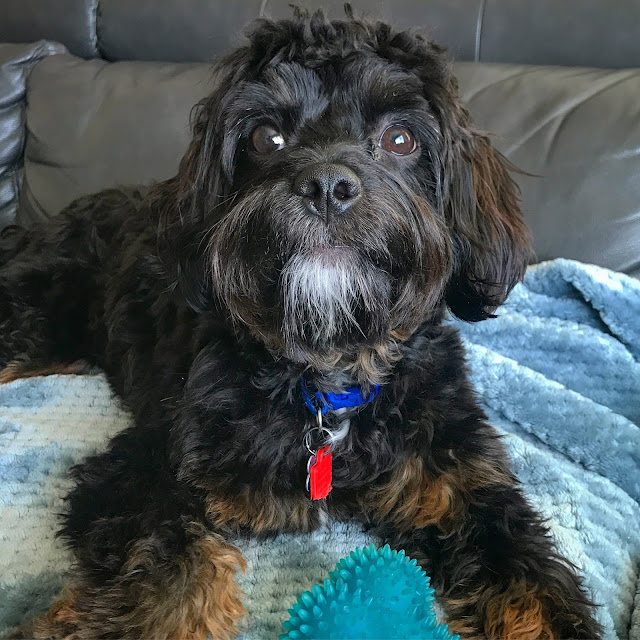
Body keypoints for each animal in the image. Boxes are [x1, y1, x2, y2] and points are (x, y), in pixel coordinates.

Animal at [1, 7, 601, 639]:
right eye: (267, 137)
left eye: (401, 138)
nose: (327, 186)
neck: (329, 377)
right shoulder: (143, 469)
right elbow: (165, 573)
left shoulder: (462, 486)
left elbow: (535, 591)